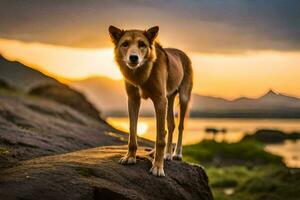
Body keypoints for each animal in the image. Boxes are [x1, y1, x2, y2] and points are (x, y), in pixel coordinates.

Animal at [109, 25, 193, 177]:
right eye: (125, 44)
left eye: (142, 44)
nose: (133, 57)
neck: (142, 73)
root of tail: (181, 52)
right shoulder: (133, 99)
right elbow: (132, 131)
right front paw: (130, 157)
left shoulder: (159, 100)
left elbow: (160, 138)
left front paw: (158, 167)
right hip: (169, 98)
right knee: (171, 125)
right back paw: (167, 154)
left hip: (183, 98)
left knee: (180, 126)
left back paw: (176, 154)